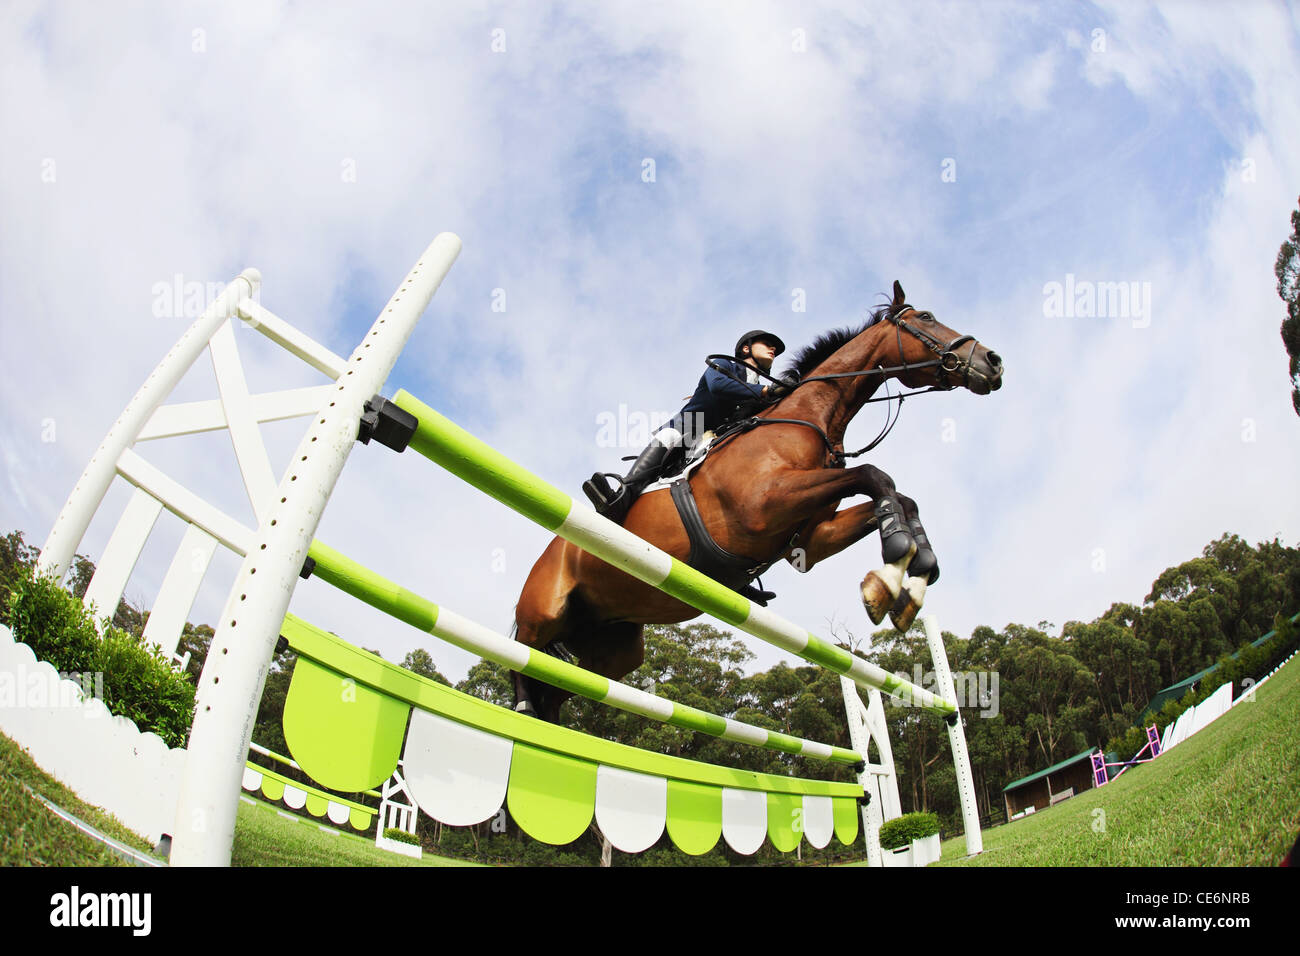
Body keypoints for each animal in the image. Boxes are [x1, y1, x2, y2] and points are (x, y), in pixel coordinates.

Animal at [512, 280, 998, 723]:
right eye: (926, 318)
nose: (993, 362)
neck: (808, 418)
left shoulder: (810, 542)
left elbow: (900, 498)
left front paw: (907, 583)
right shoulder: (764, 505)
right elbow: (875, 476)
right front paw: (894, 564)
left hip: (614, 648)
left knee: (556, 690)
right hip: (545, 610)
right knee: (522, 652)